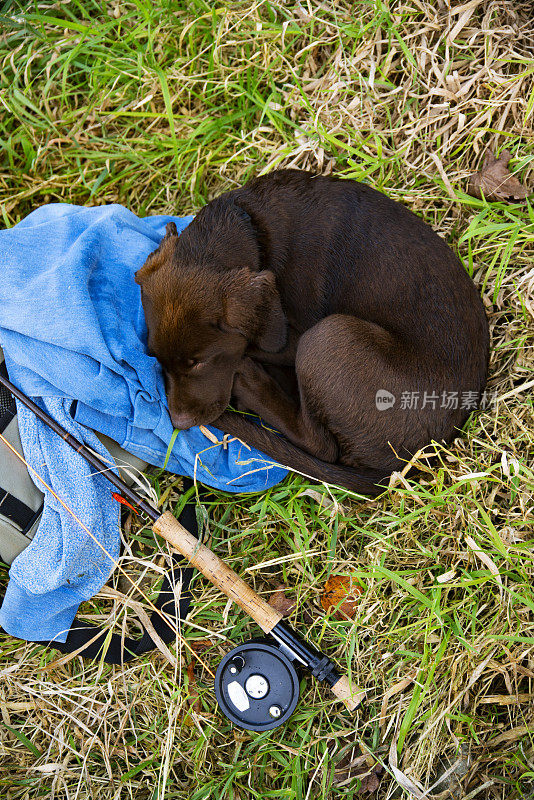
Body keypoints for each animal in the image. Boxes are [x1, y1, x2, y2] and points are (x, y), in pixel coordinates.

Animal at [136, 170, 492, 494]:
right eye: (155, 357)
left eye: (200, 361)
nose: (178, 422)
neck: (249, 225)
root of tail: (409, 463)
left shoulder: (291, 339)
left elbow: (254, 344)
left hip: (329, 335)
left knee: (320, 444)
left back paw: (252, 383)